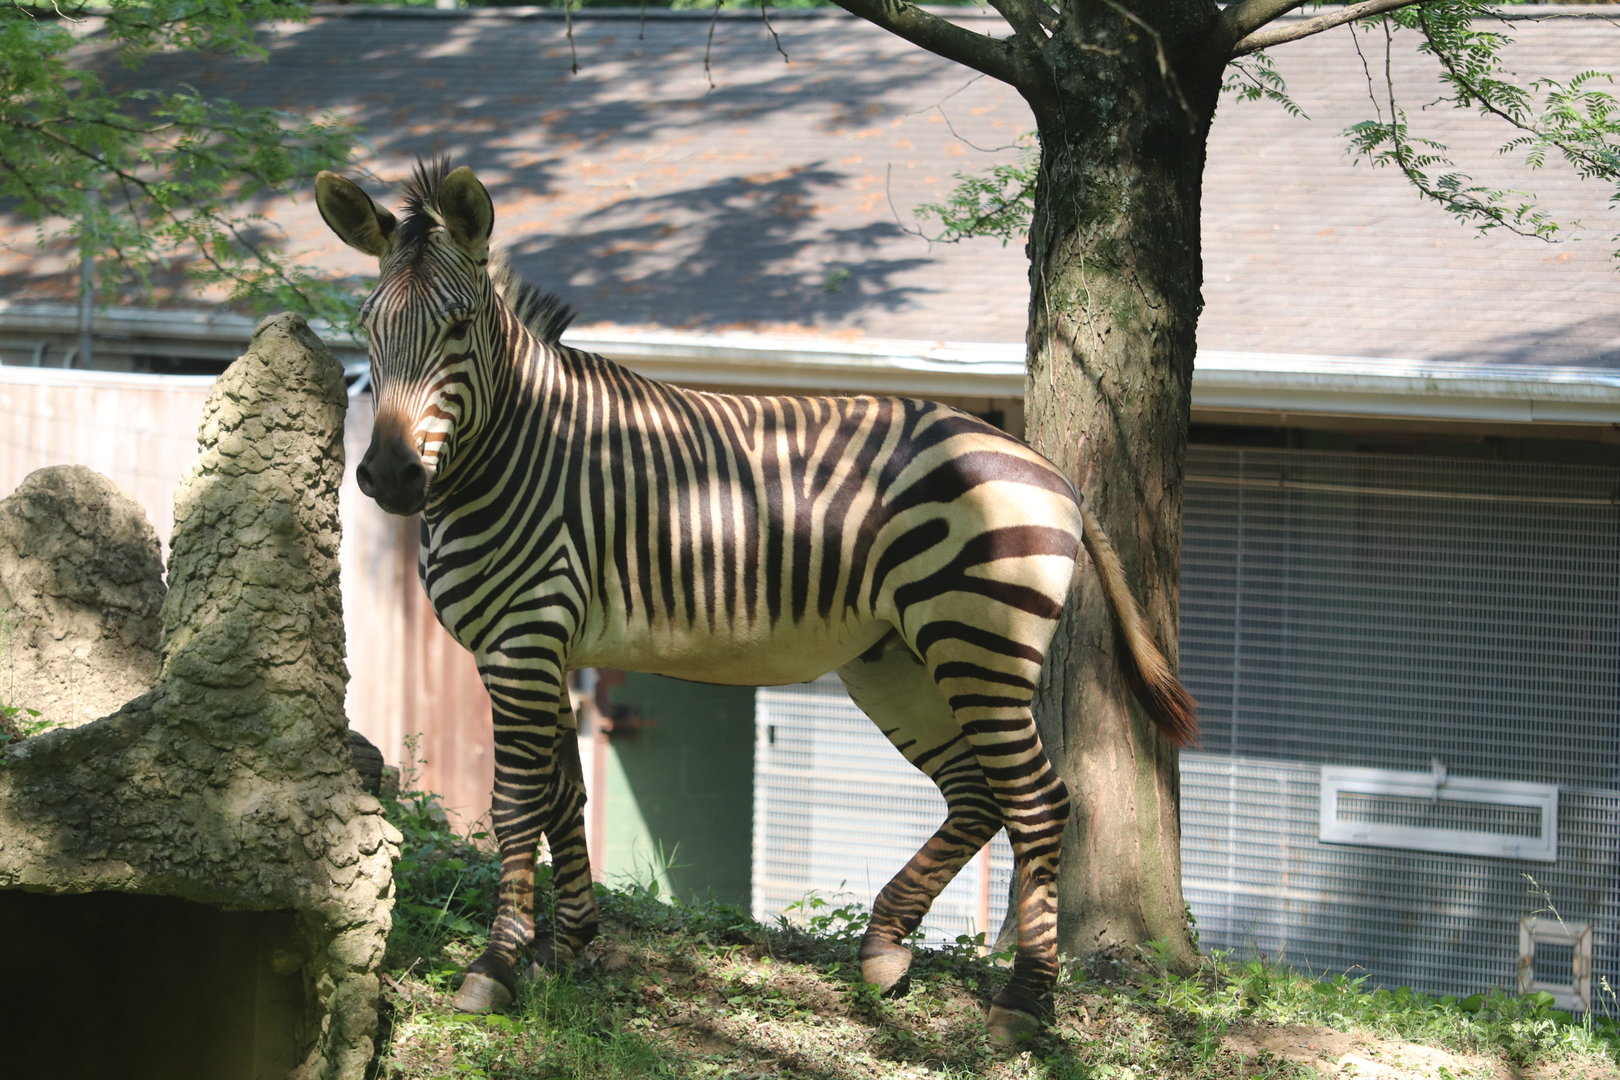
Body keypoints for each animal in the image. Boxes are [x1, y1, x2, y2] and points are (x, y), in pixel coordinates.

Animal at [315, 159, 1196, 1042]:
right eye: (365, 326)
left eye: (459, 328)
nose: (389, 477)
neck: (516, 453)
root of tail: (1050, 468)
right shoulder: (546, 647)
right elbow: (567, 798)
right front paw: (569, 949)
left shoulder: (524, 643)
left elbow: (516, 804)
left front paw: (496, 965)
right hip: (895, 661)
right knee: (975, 793)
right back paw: (884, 947)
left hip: (977, 644)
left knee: (1038, 800)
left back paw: (1026, 998)